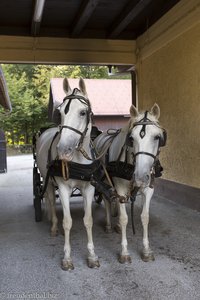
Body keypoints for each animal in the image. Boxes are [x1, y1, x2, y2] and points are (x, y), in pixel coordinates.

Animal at [36, 77, 100, 270]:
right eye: (60, 113)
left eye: (83, 112)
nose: (63, 150)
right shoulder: (63, 187)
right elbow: (67, 221)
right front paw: (67, 257)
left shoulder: (89, 188)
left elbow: (88, 220)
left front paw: (92, 255)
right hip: (48, 181)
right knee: (50, 199)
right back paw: (53, 226)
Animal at [94, 104, 166, 264]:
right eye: (131, 138)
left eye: (157, 137)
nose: (140, 176)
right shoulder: (120, 189)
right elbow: (124, 218)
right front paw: (124, 252)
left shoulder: (148, 189)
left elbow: (145, 217)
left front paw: (146, 250)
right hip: (105, 181)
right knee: (107, 201)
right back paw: (109, 225)